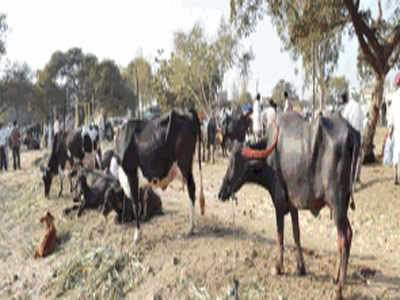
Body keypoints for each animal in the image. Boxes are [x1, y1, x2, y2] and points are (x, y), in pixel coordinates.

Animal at [110, 108, 205, 244]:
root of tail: (187, 111)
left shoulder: (131, 174)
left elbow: (135, 204)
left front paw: (137, 236)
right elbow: (142, 200)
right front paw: (143, 221)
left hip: (184, 163)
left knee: (191, 188)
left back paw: (190, 228)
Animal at [217, 112, 360, 300]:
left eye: (234, 164)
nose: (222, 192)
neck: (269, 157)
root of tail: (351, 132)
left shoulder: (278, 204)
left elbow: (280, 236)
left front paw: (278, 267)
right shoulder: (293, 206)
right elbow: (296, 234)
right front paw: (301, 267)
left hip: (337, 205)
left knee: (343, 238)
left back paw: (339, 290)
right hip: (341, 207)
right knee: (345, 236)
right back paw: (336, 278)